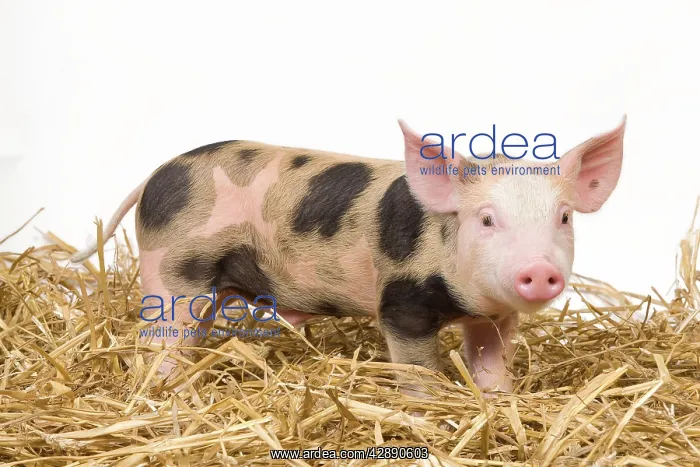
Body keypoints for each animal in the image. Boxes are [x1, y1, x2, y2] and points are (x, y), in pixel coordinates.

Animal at [71, 117, 626, 394]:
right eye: (487, 220)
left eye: (564, 218)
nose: (540, 270)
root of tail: (156, 174)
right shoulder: (401, 303)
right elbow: (417, 370)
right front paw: (426, 413)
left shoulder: (495, 318)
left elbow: (490, 365)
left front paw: (498, 402)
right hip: (171, 271)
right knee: (161, 342)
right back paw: (170, 396)